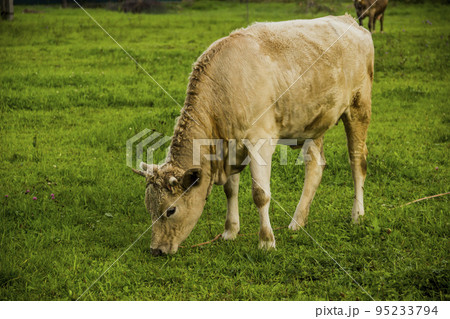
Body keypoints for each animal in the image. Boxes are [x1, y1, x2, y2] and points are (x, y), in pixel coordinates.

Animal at [133, 15, 372, 256]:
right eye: (149, 208)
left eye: (170, 210)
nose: (156, 250)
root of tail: (349, 20)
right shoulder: (230, 146)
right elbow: (230, 190)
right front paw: (230, 231)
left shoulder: (260, 142)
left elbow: (260, 194)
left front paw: (266, 241)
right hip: (313, 121)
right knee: (315, 167)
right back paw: (297, 222)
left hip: (359, 106)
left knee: (357, 162)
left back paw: (357, 215)